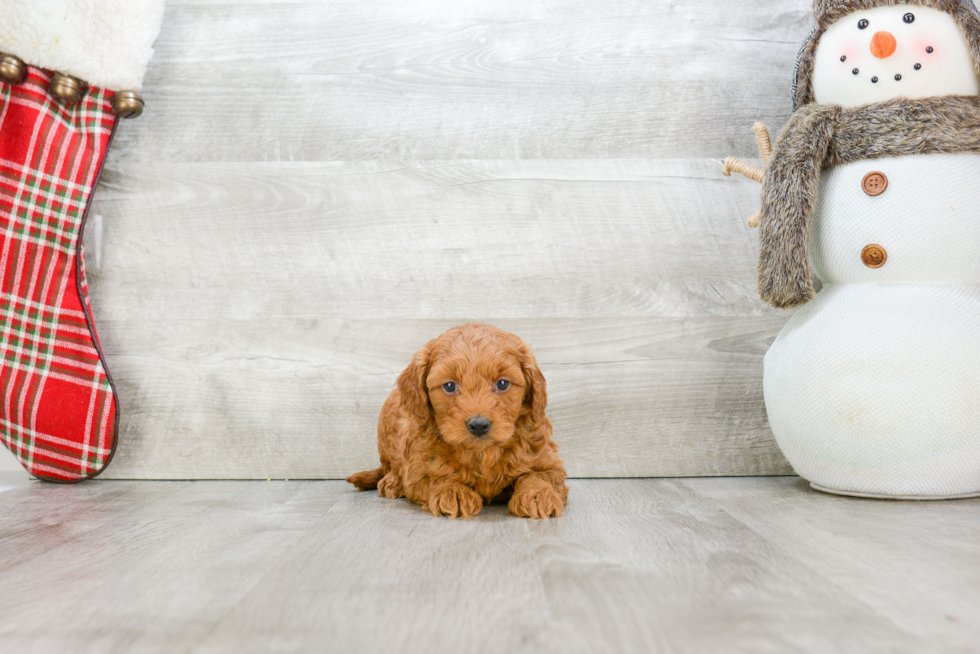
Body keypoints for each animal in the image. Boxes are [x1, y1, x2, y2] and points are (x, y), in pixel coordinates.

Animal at [350, 322, 568, 516]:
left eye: (502, 383)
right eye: (449, 386)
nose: (479, 425)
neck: (481, 453)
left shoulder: (548, 460)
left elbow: (539, 475)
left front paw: (537, 494)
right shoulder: (417, 470)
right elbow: (436, 477)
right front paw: (453, 491)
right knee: (389, 466)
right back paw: (393, 482)